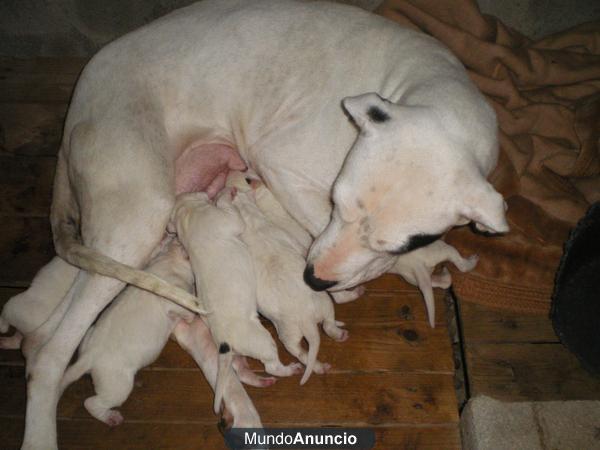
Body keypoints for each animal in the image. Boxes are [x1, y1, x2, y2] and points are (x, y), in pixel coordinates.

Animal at [60, 237, 264, 428]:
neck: (168, 260)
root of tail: (88, 356)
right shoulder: (177, 297)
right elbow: (186, 309)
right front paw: (191, 316)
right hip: (117, 385)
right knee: (92, 402)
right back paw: (111, 417)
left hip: (90, 339)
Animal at [169, 188, 300, 414]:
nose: (209, 192)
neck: (186, 216)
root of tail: (225, 343)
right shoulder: (228, 219)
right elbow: (231, 212)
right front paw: (226, 194)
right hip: (263, 341)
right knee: (272, 366)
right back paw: (290, 369)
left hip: (239, 357)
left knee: (244, 371)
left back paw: (262, 381)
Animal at [233, 185, 346, 384]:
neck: (250, 221)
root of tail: (307, 318)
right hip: (306, 318)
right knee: (319, 333)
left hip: (302, 320)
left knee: (311, 342)